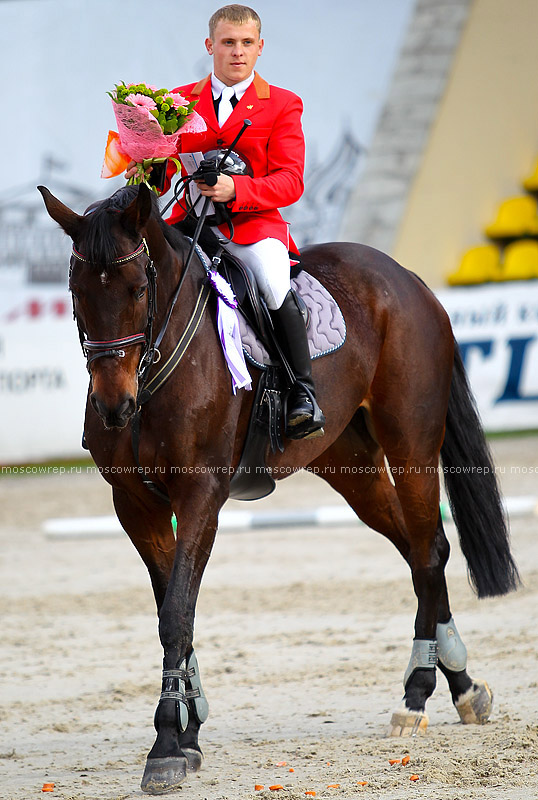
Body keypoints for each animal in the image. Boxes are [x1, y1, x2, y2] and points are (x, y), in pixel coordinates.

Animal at [38, 184, 520, 796]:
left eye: (139, 289)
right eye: (76, 293)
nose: (113, 406)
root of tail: (405, 277)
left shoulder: (201, 496)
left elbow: (176, 613)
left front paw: (167, 743)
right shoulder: (136, 506)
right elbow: (175, 609)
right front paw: (190, 734)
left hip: (411, 442)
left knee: (431, 550)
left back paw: (415, 695)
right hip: (351, 468)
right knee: (416, 552)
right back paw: (461, 685)